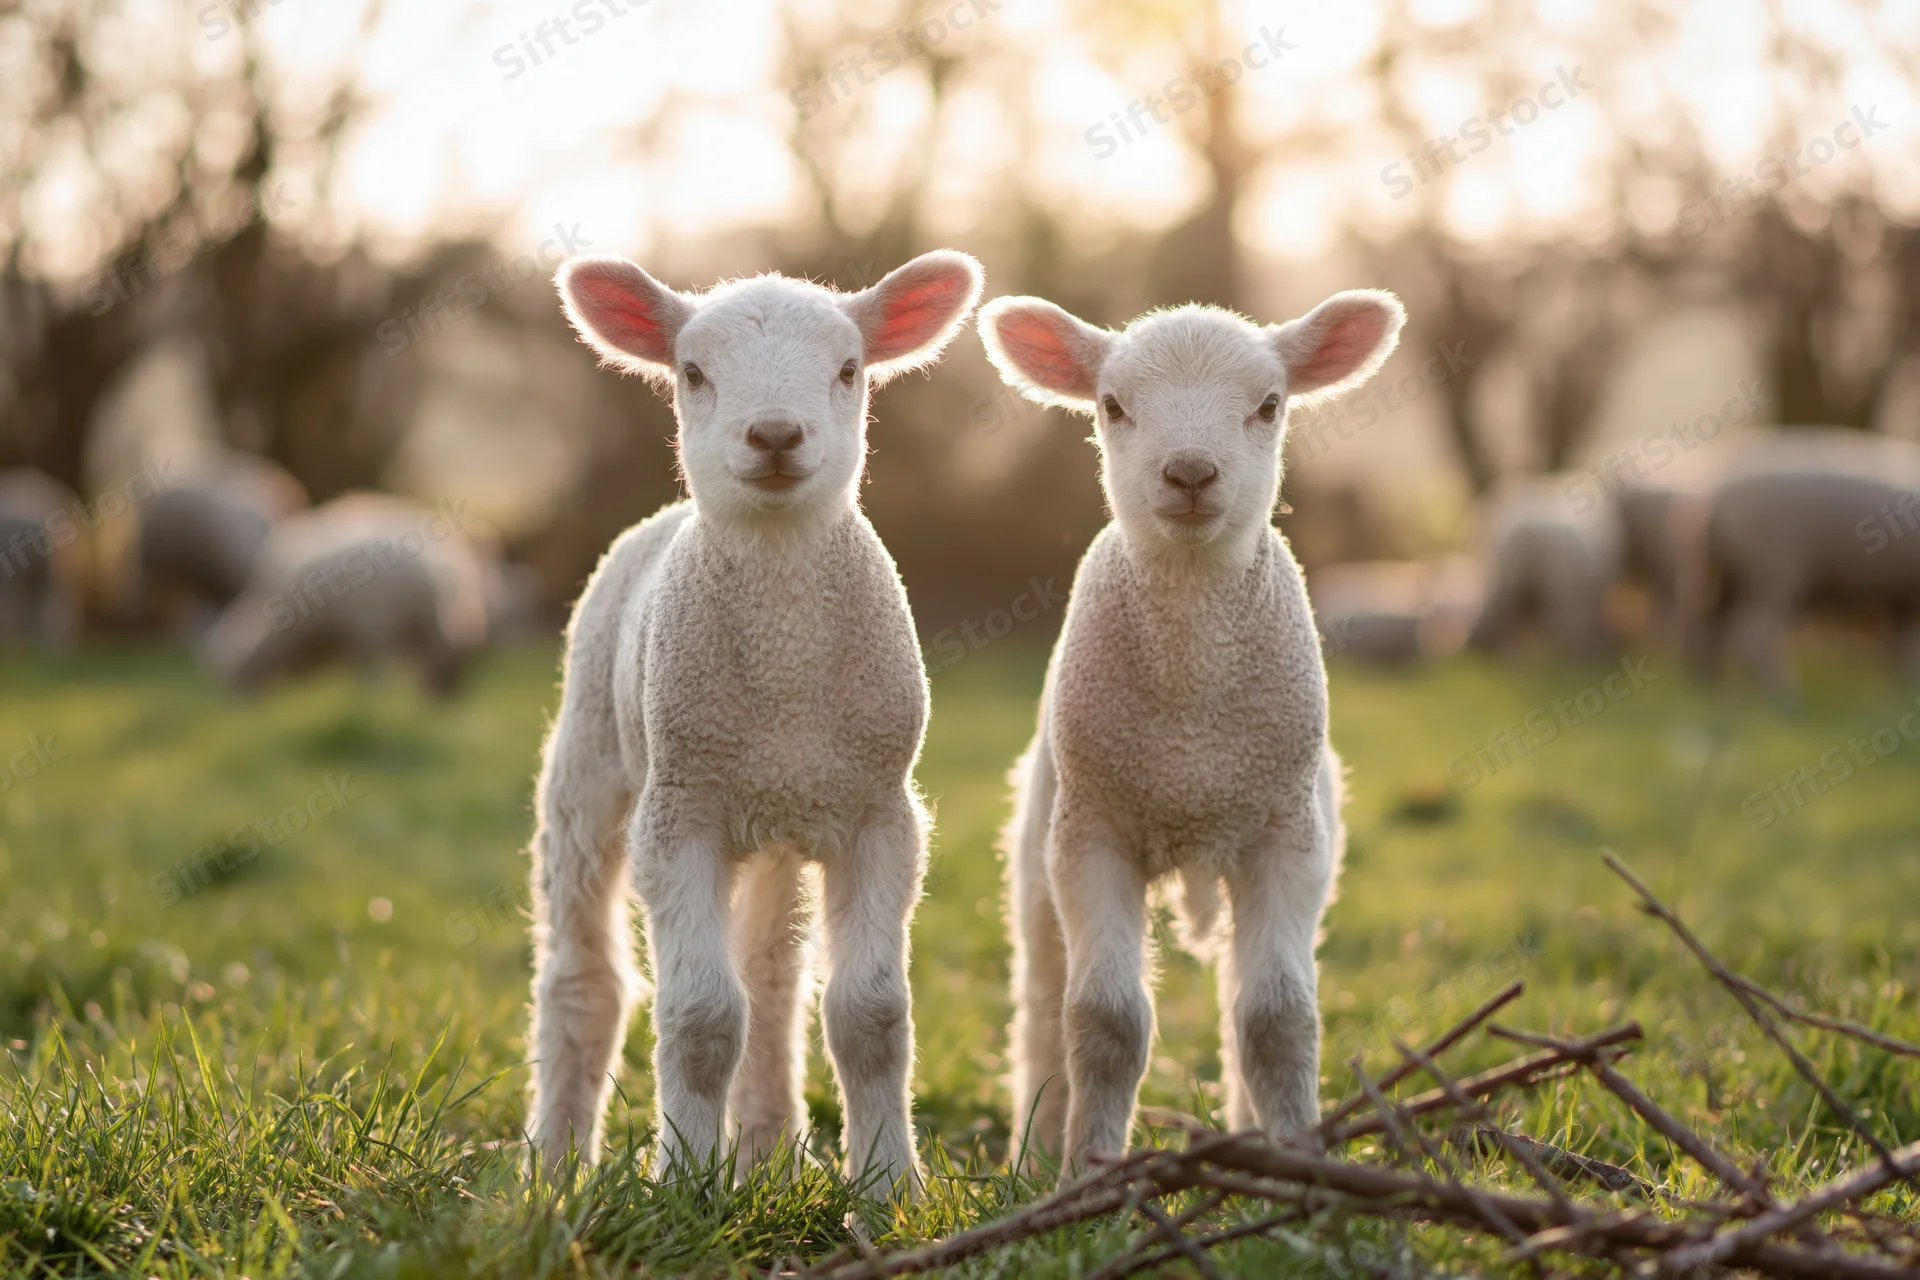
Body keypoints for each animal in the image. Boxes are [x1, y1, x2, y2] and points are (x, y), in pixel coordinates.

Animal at [199, 491, 497, 697]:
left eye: (235, 672)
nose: (235, 713)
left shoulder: (370, 627)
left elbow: (372, 672)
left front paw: (374, 700)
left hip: (440, 622)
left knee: (443, 659)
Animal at [526, 250, 984, 1194]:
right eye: (694, 373)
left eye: (848, 370)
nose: (774, 435)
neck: (784, 674)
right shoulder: (680, 816)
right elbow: (700, 1020)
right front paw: (683, 1190)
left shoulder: (880, 815)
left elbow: (871, 1015)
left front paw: (889, 1191)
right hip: (589, 769)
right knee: (584, 980)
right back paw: (554, 1170)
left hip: (778, 830)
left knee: (772, 982)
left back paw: (767, 1153)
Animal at [978, 287, 1405, 1165]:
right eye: (1111, 406)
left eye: (1270, 405)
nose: (1190, 473)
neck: (1190, 739)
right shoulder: (1093, 833)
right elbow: (1104, 1020)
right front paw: (1089, 1167)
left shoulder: (1285, 837)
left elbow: (1276, 1019)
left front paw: (1298, 1159)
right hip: (1038, 850)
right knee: (1039, 1002)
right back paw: (1032, 1153)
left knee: (1243, 996)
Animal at [1686, 428, 1920, 694]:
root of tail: (1718, 501)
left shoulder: (1903, 600)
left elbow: (1900, 654)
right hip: (1775, 569)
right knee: (1753, 632)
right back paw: (1784, 693)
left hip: (1731, 574)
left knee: (1711, 625)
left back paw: (1711, 687)